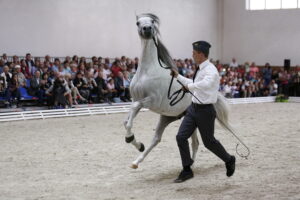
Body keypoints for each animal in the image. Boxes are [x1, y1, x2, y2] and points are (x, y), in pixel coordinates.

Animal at [124, 12, 234, 169]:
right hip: (169, 117)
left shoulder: (150, 101)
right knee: (159, 139)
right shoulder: (136, 99)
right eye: (138, 23)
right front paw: (138, 144)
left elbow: (132, 112)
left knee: (194, 143)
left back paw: (190, 165)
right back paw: (137, 161)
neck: (147, 71)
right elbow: (127, 120)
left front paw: (130, 138)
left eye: (152, 21)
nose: (147, 29)